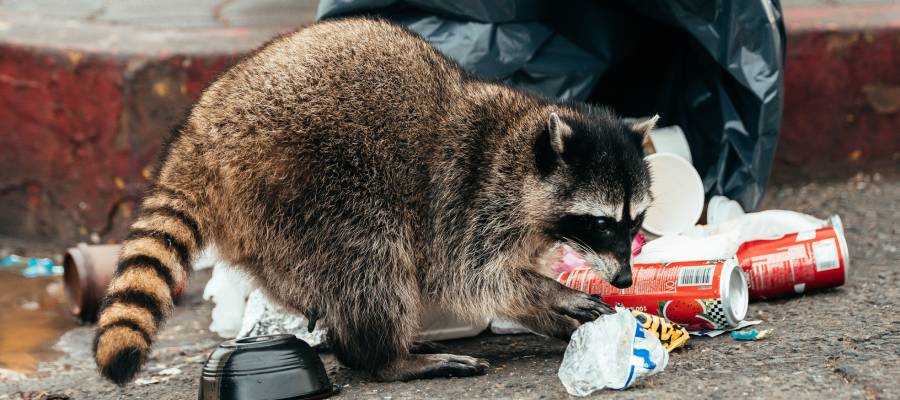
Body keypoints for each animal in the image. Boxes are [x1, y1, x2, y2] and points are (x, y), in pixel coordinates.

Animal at [93, 18, 652, 384]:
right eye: (602, 223)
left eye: (636, 221)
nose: (626, 279)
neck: (521, 144)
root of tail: (200, 135)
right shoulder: (468, 199)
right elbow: (474, 277)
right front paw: (549, 294)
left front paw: (552, 308)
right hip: (307, 184)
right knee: (369, 261)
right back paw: (385, 357)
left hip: (267, 224)